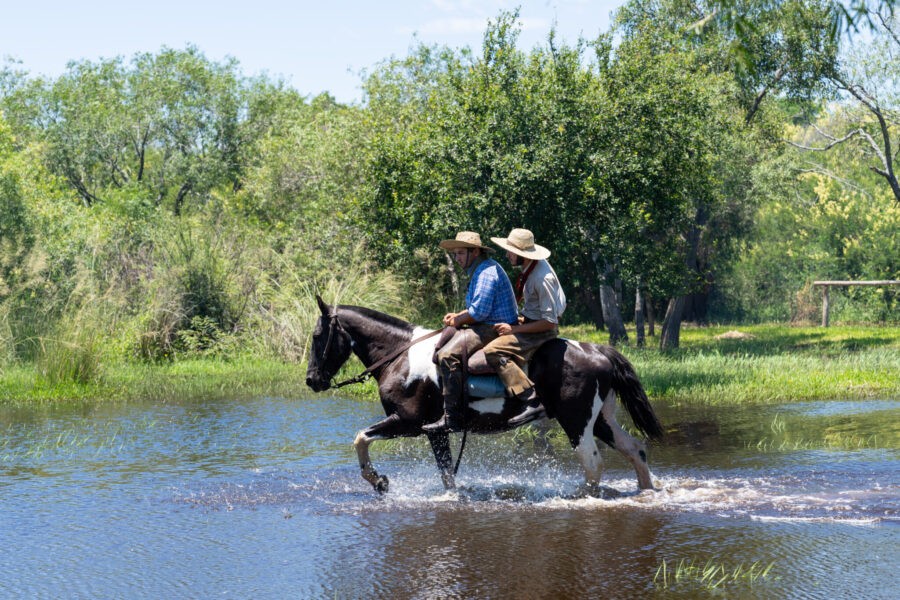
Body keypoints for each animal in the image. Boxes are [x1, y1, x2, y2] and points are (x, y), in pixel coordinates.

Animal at [305, 296, 664, 494]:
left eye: (317, 335)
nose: (311, 380)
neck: (399, 355)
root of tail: (598, 350)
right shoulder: (435, 432)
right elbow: (447, 475)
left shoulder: (407, 422)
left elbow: (360, 438)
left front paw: (379, 481)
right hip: (600, 420)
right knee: (636, 450)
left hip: (576, 421)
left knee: (592, 463)